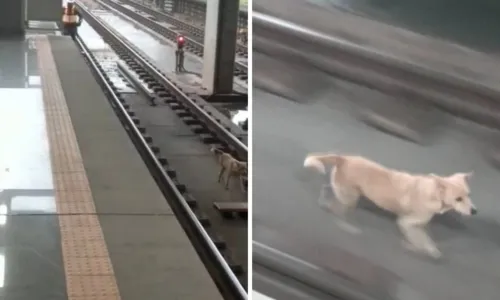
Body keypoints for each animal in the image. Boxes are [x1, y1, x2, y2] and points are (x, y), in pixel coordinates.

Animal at [304, 154, 476, 258]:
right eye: (458, 199)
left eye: (469, 194)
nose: (474, 211)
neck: (433, 192)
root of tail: (345, 158)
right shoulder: (406, 223)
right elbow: (421, 241)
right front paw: (422, 249)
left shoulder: (416, 225)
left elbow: (423, 238)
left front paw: (420, 247)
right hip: (350, 198)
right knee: (338, 211)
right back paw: (347, 226)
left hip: (345, 192)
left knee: (328, 190)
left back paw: (324, 202)